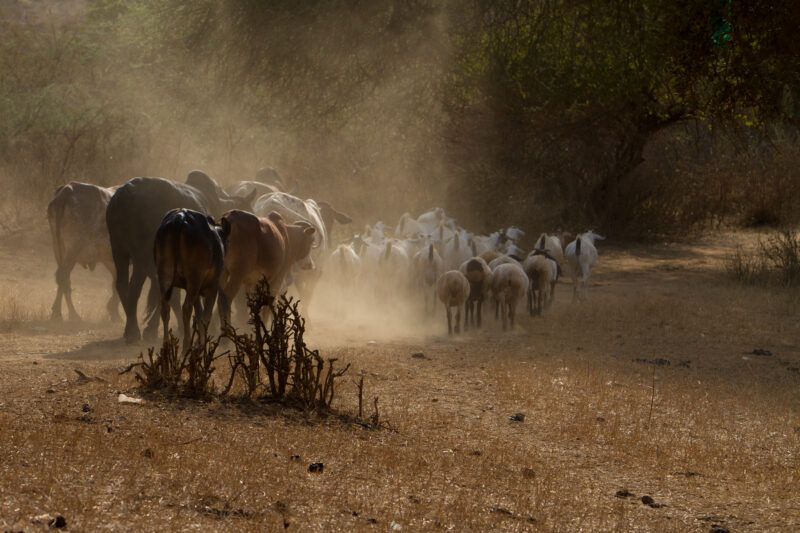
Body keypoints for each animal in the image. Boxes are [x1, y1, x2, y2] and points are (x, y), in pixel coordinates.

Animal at [47, 182, 119, 322]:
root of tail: (69, 189)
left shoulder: (110, 260)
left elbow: (116, 282)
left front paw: (114, 312)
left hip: (58, 247)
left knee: (63, 278)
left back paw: (58, 312)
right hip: (73, 247)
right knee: (63, 276)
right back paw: (72, 315)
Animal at [153, 208, 229, 351]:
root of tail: (180, 217)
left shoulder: (196, 290)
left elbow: (199, 314)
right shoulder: (212, 287)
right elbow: (205, 316)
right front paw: (202, 344)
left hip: (164, 274)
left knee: (165, 308)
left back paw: (166, 347)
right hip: (194, 278)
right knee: (186, 308)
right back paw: (186, 347)